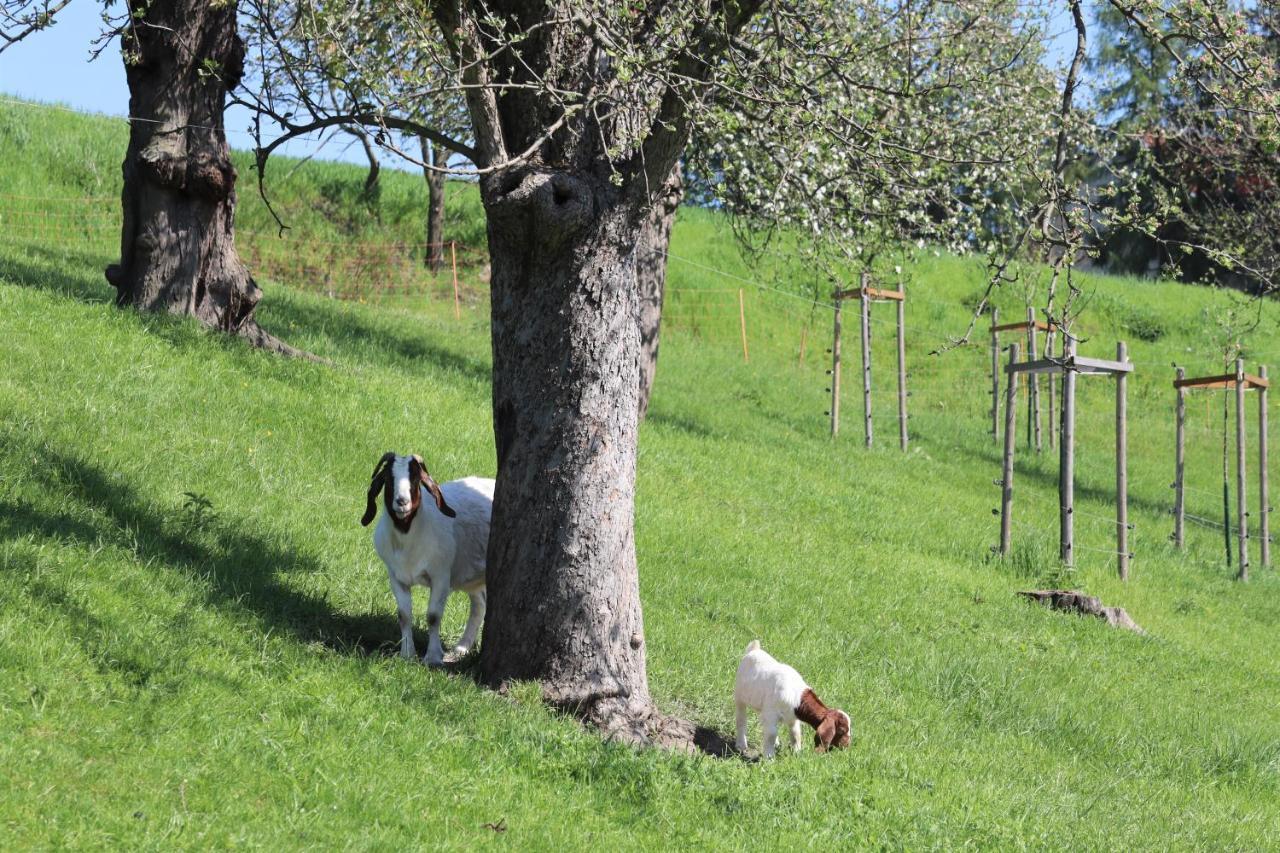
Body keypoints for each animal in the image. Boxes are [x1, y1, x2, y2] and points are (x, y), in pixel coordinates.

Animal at [366, 450, 499, 666]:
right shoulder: (396, 576)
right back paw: (461, 648)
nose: (402, 502)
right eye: (388, 478)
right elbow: (404, 615)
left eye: (415, 477)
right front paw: (407, 654)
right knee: (479, 604)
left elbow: (433, 616)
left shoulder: (441, 576)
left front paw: (433, 657)